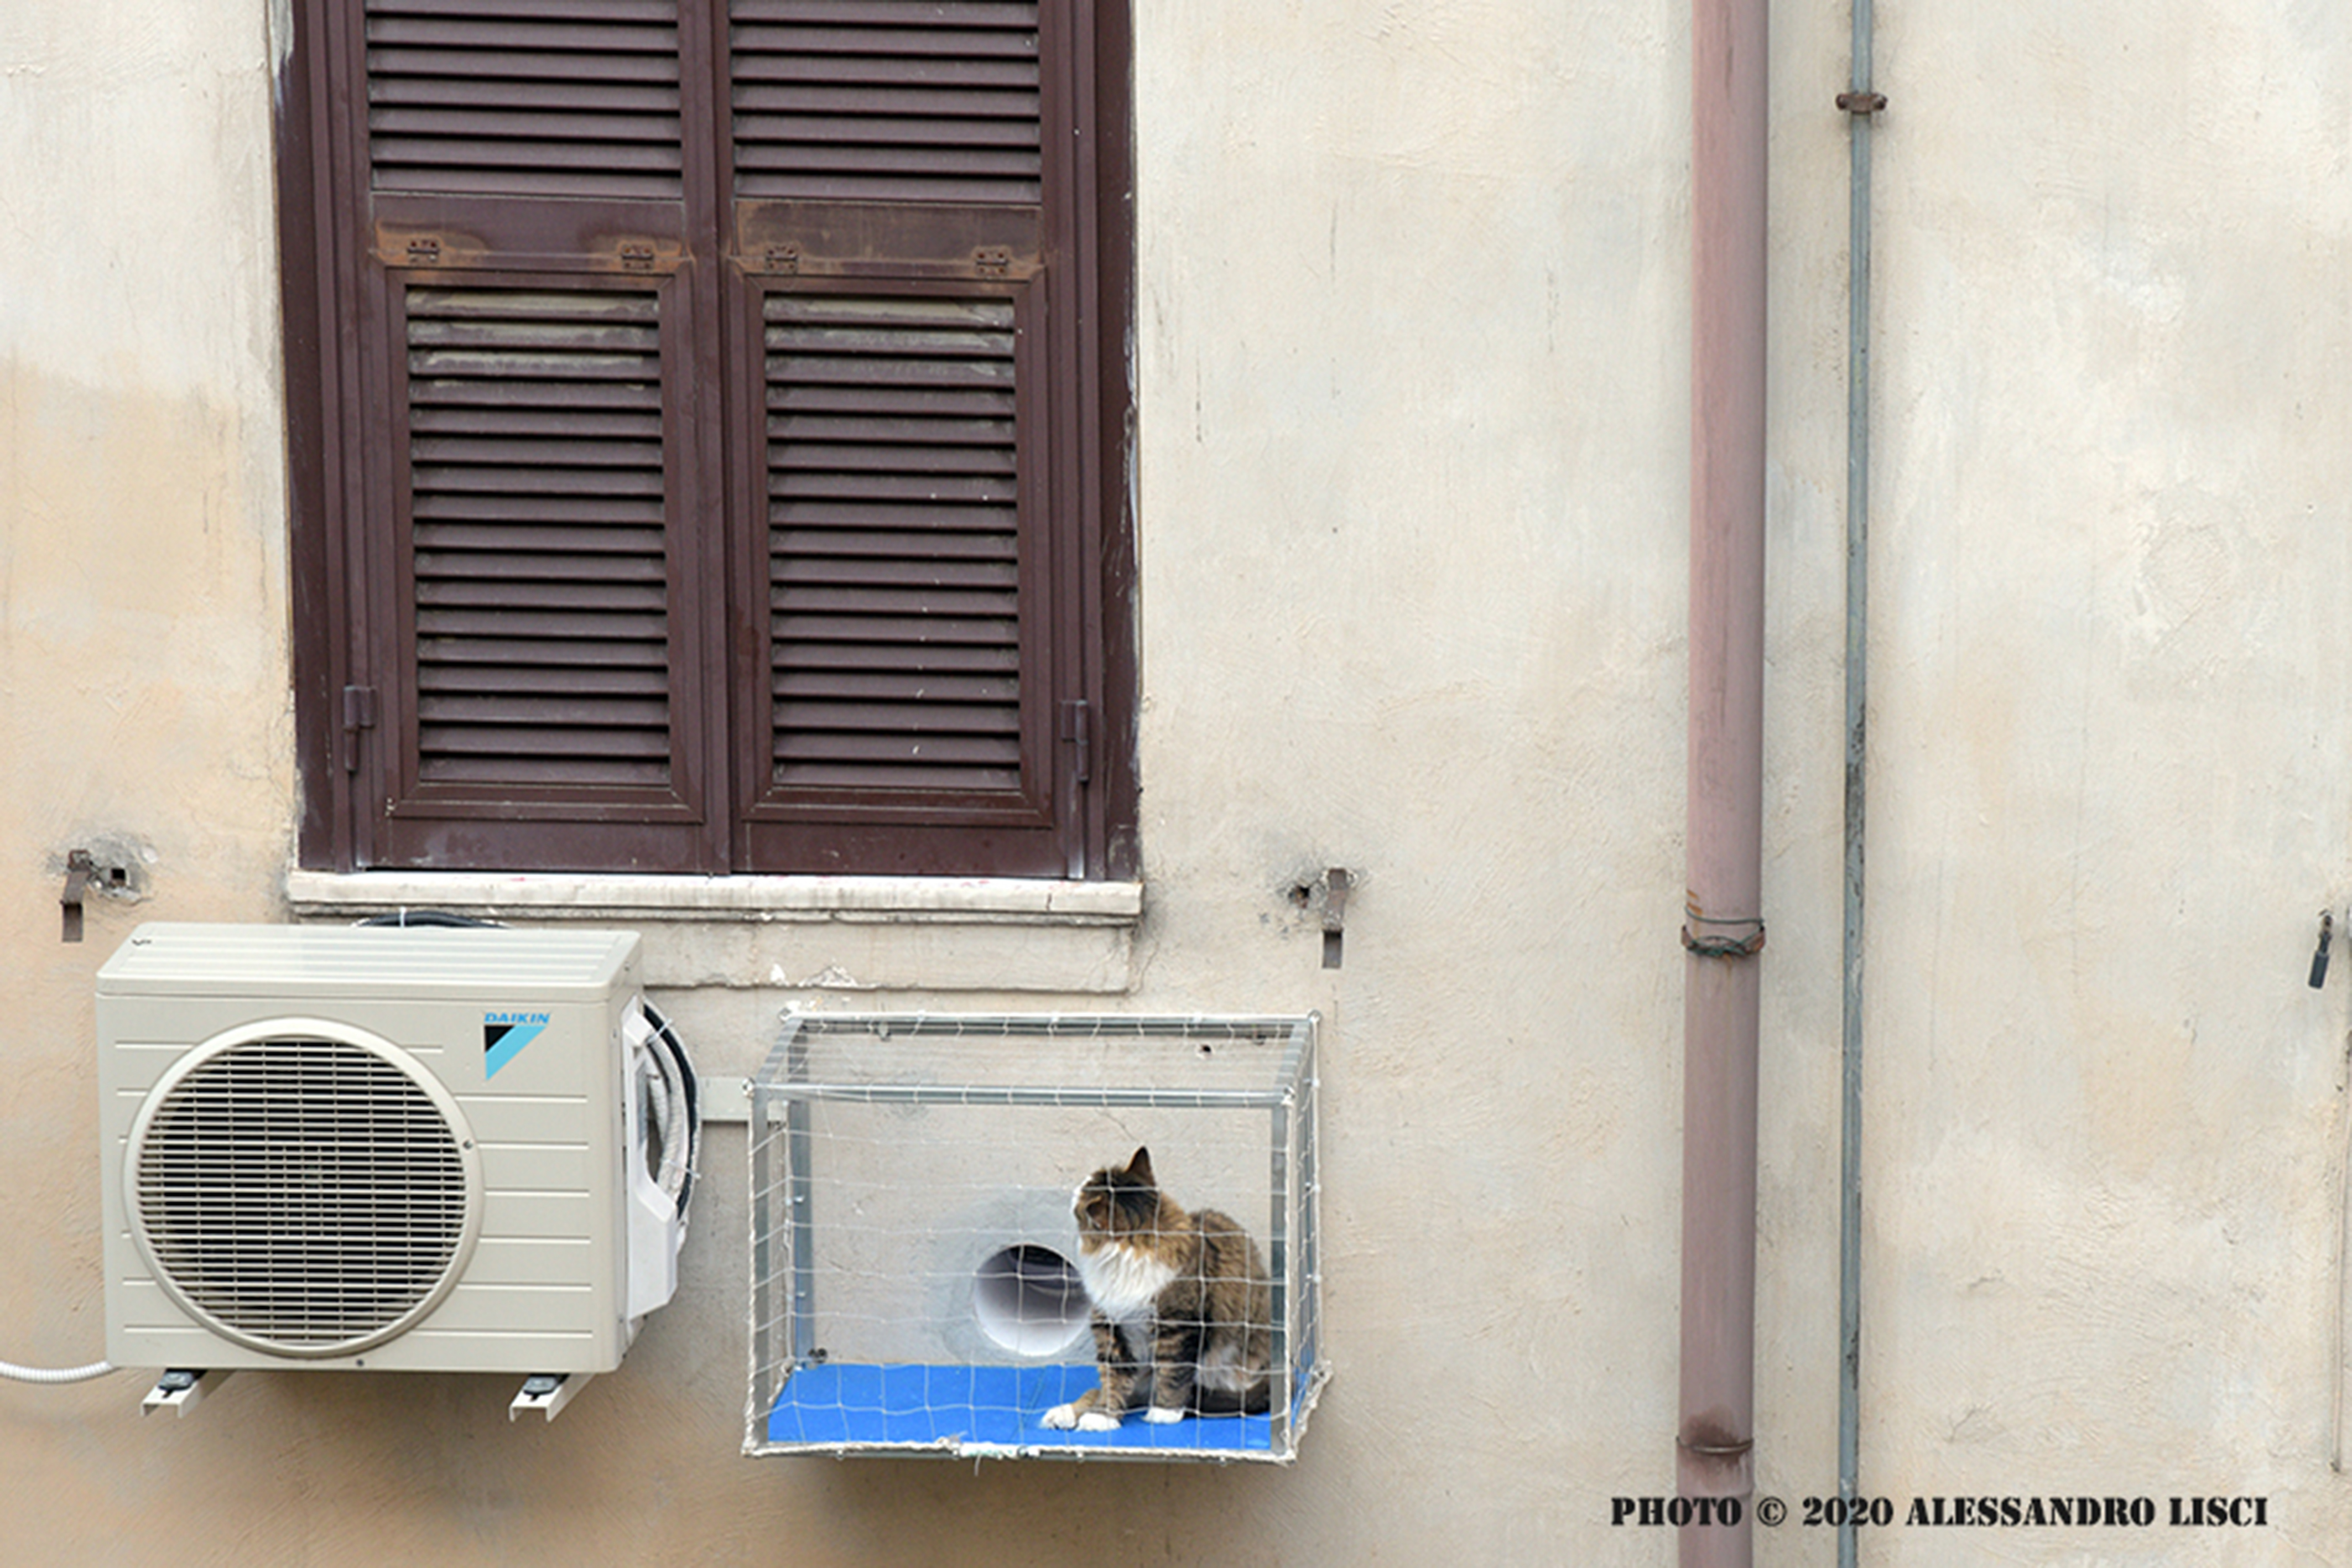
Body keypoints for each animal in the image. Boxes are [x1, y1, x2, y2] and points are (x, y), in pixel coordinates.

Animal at [1044, 1147, 1270, 1429]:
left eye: (1086, 1192)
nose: (1077, 1187)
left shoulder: (1179, 1324)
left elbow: (1173, 1372)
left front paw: (1164, 1412)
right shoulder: (1111, 1328)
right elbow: (1112, 1381)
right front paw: (1101, 1416)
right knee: (1099, 1392)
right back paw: (1063, 1413)